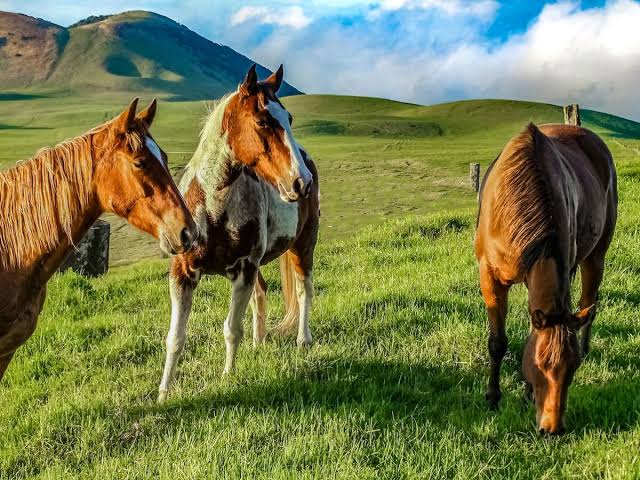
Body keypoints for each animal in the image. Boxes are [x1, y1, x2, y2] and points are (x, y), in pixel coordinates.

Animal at [157, 64, 320, 402]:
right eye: (262, 121)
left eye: (289, 119)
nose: (302, 182)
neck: (213, 206)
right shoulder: (183, 273)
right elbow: (175, 337)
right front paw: (164, 392)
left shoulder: (243, 269)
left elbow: (232, 329)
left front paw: (228, 377)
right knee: (262, 293)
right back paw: (259, 342)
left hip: (303, 246)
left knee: (303, 290)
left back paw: (303, 340)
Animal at [475, 123, 617, 435]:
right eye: (540, 363)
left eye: (572, 369)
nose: (552, 429)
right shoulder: (490, 276)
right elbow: (497, 342)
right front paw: (493, 397)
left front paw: (526, 393)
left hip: (596, 256)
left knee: (588, 301)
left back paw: (586, 345)